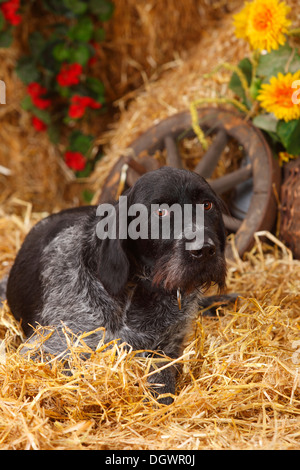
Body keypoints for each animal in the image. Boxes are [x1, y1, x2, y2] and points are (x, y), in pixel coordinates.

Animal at [6, 166, 227, 404]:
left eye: (207, 205)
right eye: (161, 212)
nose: (204, 250)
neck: (143, 293)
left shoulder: (169, 346)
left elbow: (162, 382)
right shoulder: (45, 347)